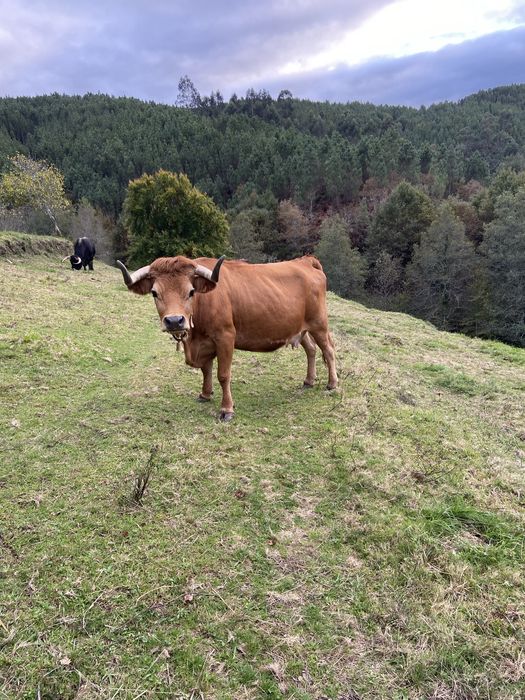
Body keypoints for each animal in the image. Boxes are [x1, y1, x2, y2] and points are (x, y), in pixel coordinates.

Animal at [116, 255, 338, 421]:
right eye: (154, 293)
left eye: (191, 291)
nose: (174, 321)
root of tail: (305, 261)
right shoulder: (205, 343)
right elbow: (206, 370)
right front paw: (205, 394)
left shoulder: (225, 337)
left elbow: (223, 375)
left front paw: (227, 409)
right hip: (300, 329)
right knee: (311, 349)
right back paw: (309, 380)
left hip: (319, 324)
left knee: (328, 350)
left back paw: (332, 384)